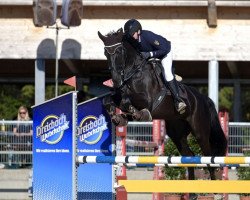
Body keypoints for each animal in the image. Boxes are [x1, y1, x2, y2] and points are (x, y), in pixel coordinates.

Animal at [97, 28, 229, 195]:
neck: (133, 73)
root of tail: (203, 98)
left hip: (200, 130)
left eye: (120, 50)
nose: (115, 81)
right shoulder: (119, 94)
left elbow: (128, 101)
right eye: (105, 52)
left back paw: (214, 187)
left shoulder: (147, 100)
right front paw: (118, 117)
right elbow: (108, 100)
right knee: (189, 155)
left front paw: (134, 113)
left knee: (208, 155)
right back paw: (192, 194)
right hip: (176, 133)